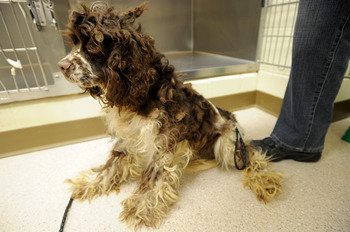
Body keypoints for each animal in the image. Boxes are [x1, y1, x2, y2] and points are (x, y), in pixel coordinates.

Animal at [57, 1, 282, 229]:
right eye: (75, 43)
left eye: (94, 45)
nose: (62, 66)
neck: (141, 95)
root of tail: (230, 117)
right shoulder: (128, 138)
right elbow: (112, 165)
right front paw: (90, 183)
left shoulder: (165, 141)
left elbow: (154, 175)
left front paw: (142, 206)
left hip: (227, 145)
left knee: (251, 156)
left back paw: (265, 180)